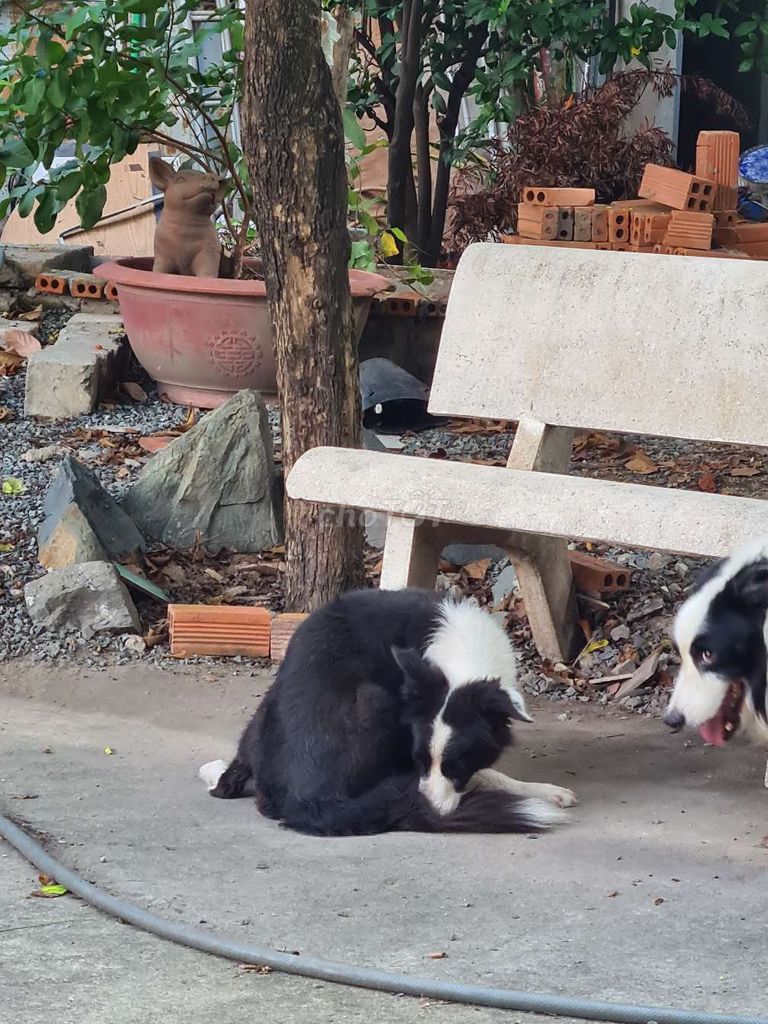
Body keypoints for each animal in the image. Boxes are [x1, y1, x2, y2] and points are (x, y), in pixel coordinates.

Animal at [205, 589, 577, 835]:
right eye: (419, 761)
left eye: (458, 764)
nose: (430, 808)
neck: (464, 657)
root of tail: (309, 799)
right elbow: (486, 773)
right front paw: (543, 790)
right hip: (375, 699)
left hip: (268, 705)